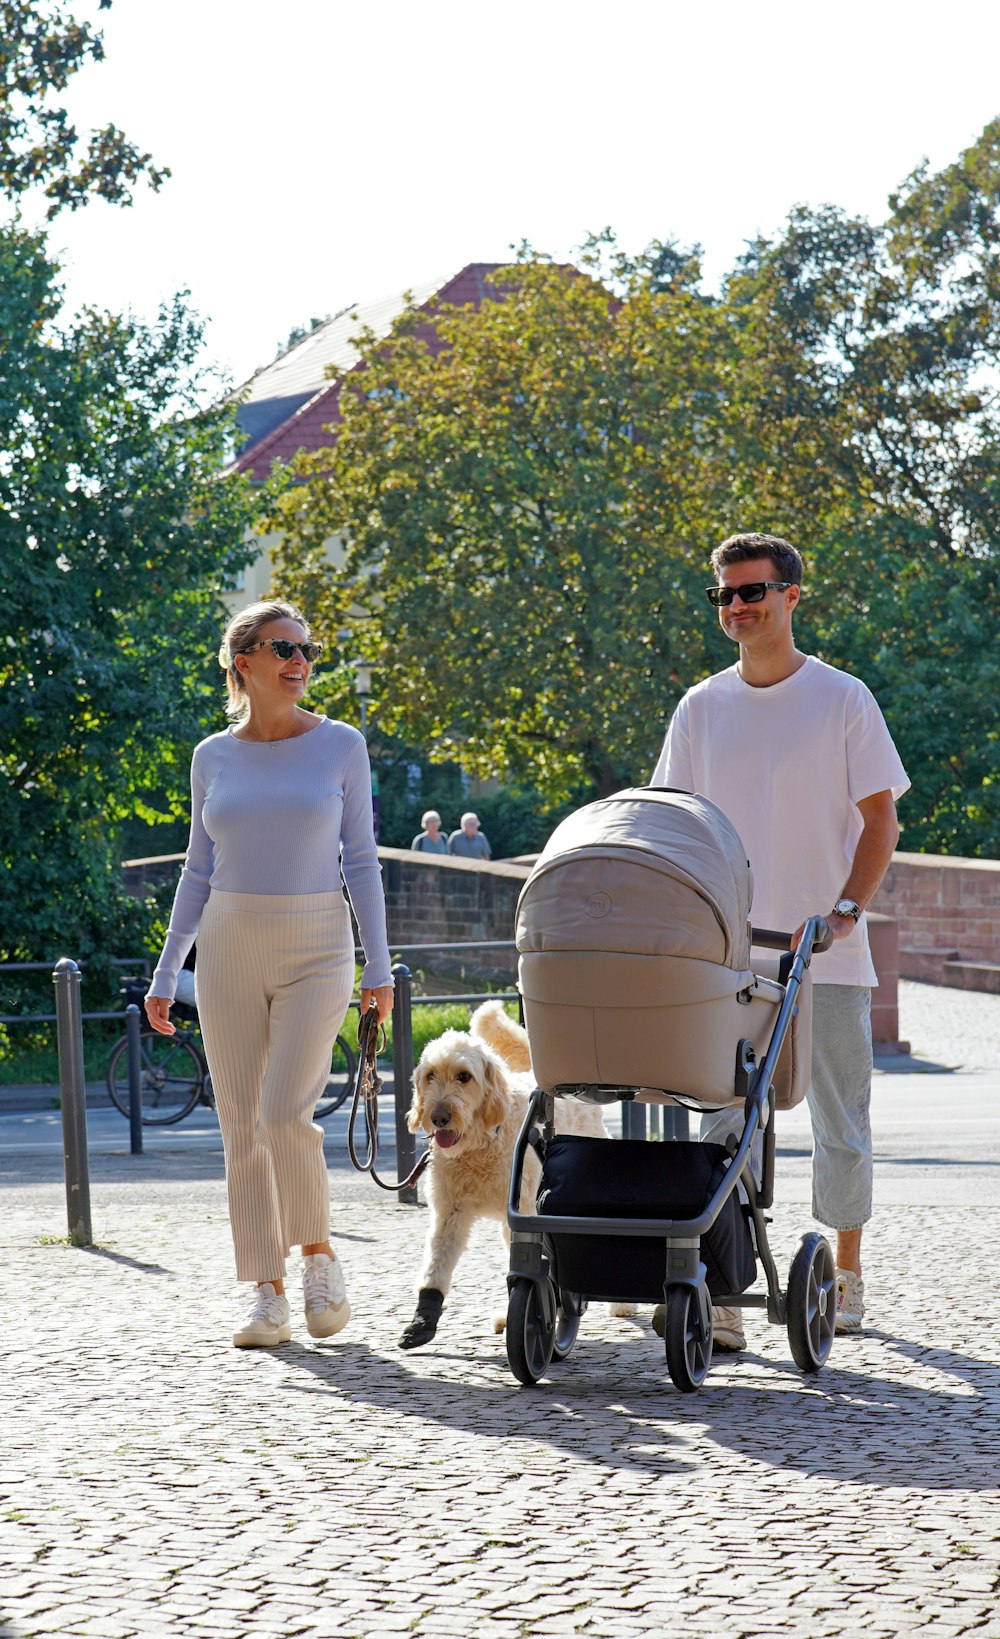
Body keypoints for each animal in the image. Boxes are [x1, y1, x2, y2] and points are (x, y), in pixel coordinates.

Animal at [395, 996, 616, 1343]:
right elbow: (436, 1265)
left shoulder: (523, 1214)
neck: (479, 1146)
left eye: (464, 1076)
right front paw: (422, 1320)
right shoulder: (450, 1214)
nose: (438, 1117)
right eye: (430, 1075)